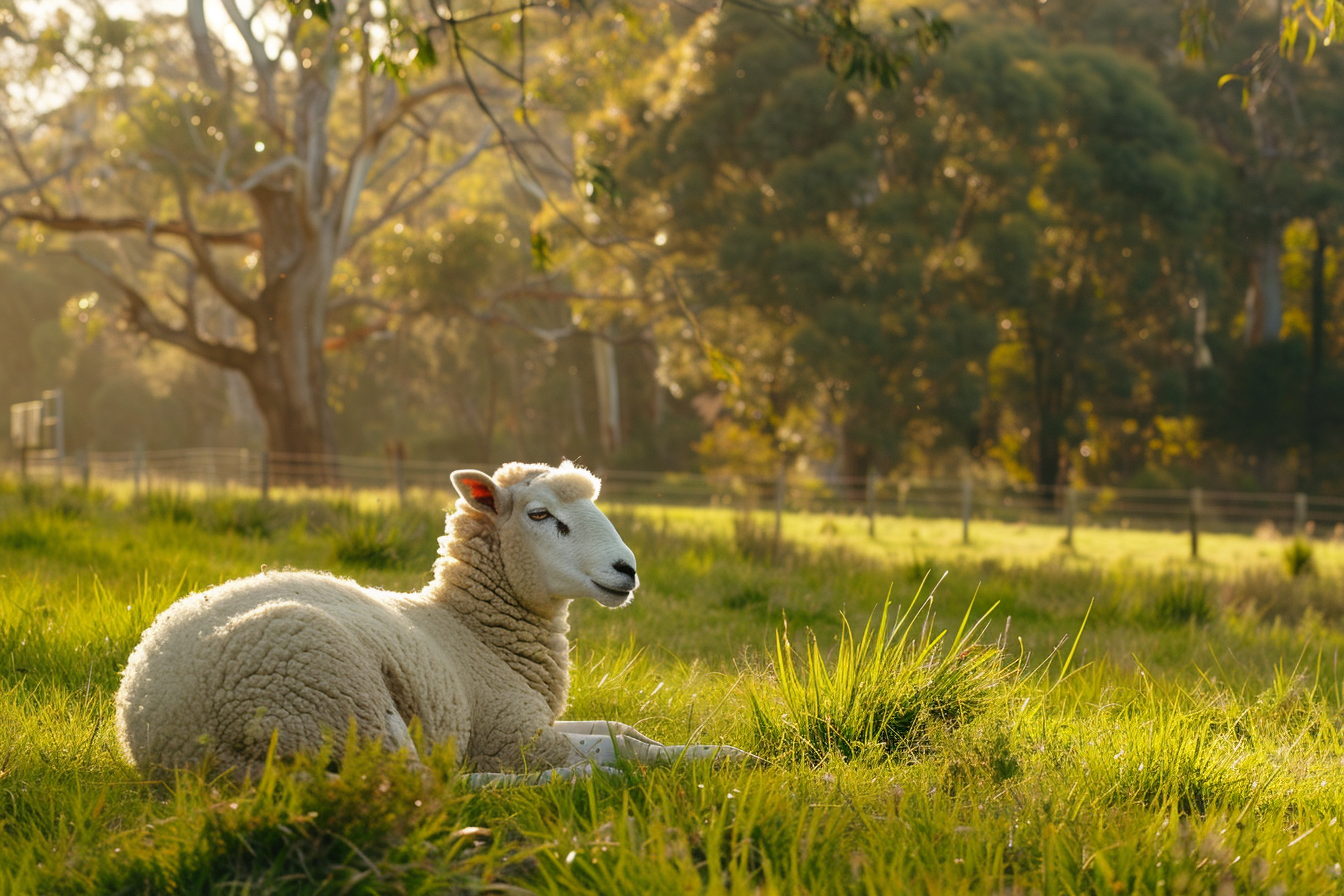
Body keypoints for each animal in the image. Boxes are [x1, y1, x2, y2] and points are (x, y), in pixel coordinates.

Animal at [115, 461, 750, 782]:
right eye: (539, 514)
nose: (627, 570)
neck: (473, 630)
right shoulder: (512, 734)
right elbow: (621, 749)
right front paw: (724, 759)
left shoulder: (532, 718)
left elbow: (624, 730)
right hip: (340, 698)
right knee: (431, 784)